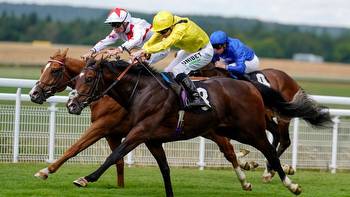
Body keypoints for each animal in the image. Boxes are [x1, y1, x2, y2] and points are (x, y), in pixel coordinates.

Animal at [28, 48, 256, 191]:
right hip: (207, 129)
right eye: (42, 69)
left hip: (212, 129)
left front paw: (45, 171)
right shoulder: (113, 133)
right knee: (229, 147)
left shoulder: (102, 126)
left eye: (54, 70)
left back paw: (245, 179)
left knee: (228, 148)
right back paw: (247, 166)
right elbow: (118, 159)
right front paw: (119, 186)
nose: (33, 94)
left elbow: (75, 148)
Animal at [65, 57, 330, 195]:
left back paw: (288, 182)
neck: (142, 91)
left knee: (271, 149)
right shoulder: (153, 140)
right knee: (264, 144)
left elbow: (115, 155)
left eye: (90, 78)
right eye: (75, 79)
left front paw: (85, 178)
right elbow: (165, 169)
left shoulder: (140, 132)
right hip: (229, 129)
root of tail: (249, 85)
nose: (71, 104)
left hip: (250, 129)